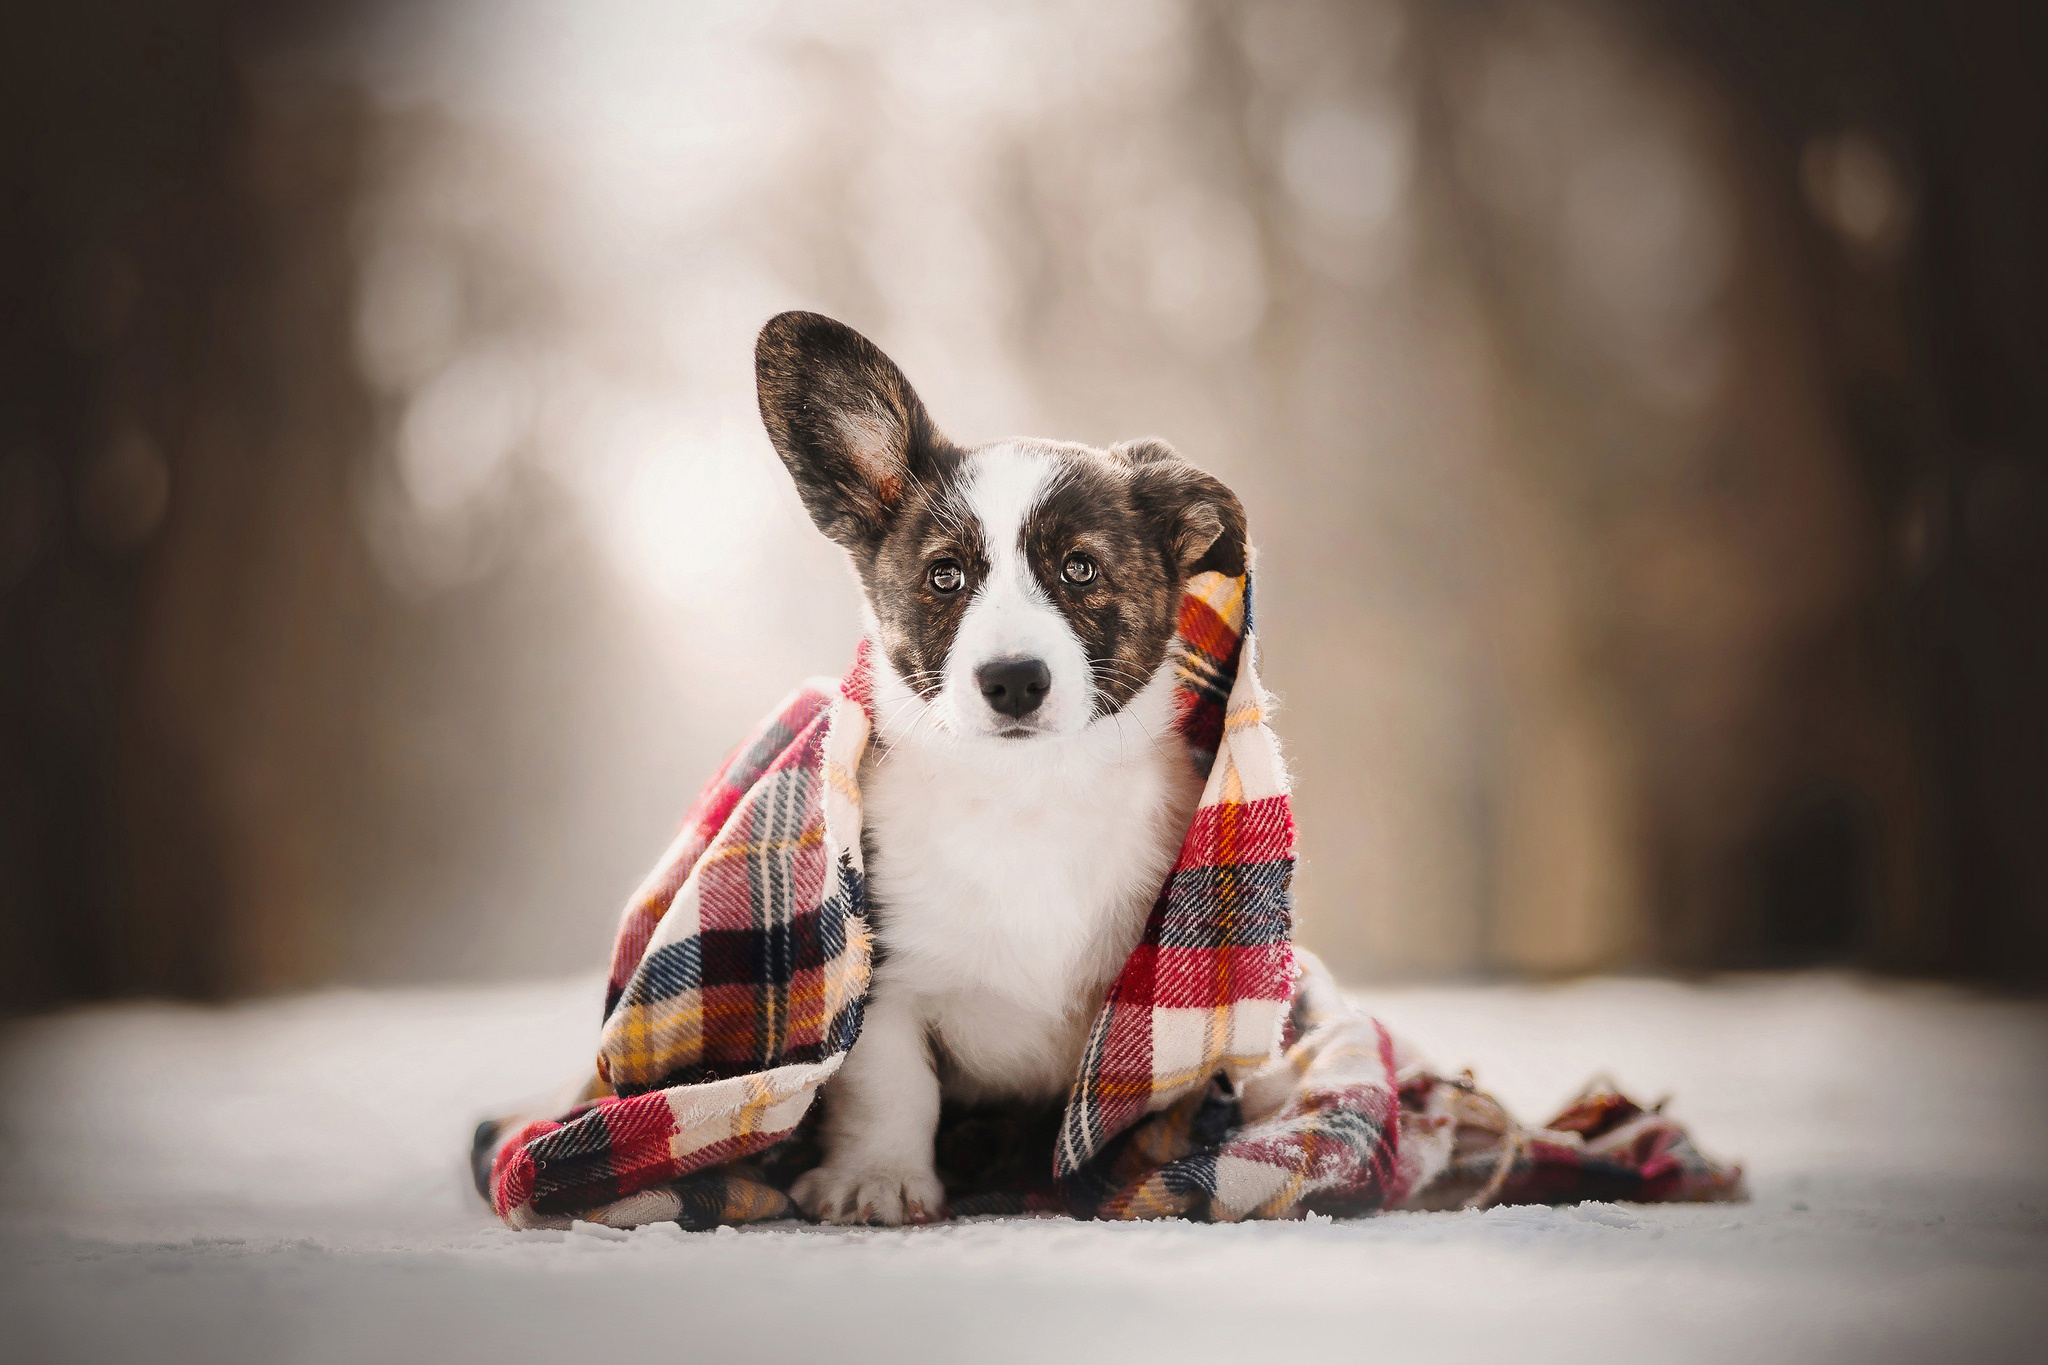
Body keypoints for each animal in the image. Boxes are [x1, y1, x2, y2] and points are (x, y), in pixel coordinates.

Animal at [757, 313, 1245, 1227]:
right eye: (945, 575)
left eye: (1080, 568)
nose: (1014, 679)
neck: (1028, 796)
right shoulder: (885, 987)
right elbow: (891, 1088)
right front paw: (877, 1179)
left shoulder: (1145, 998)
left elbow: (1147, 1099)